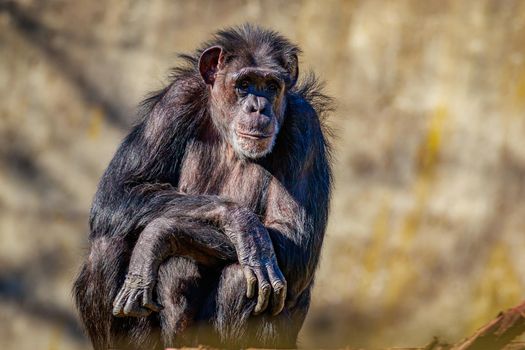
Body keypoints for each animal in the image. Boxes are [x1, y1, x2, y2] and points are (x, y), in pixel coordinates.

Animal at [73, 23, 332, 348]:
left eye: (271, 86)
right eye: (244, 83)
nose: (258, 107)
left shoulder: (304, 126)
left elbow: (293, 237)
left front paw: (161, 235)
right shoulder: (175, 101)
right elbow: (119, 191)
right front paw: (241, 222)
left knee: (246, 273)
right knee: (107, 245)